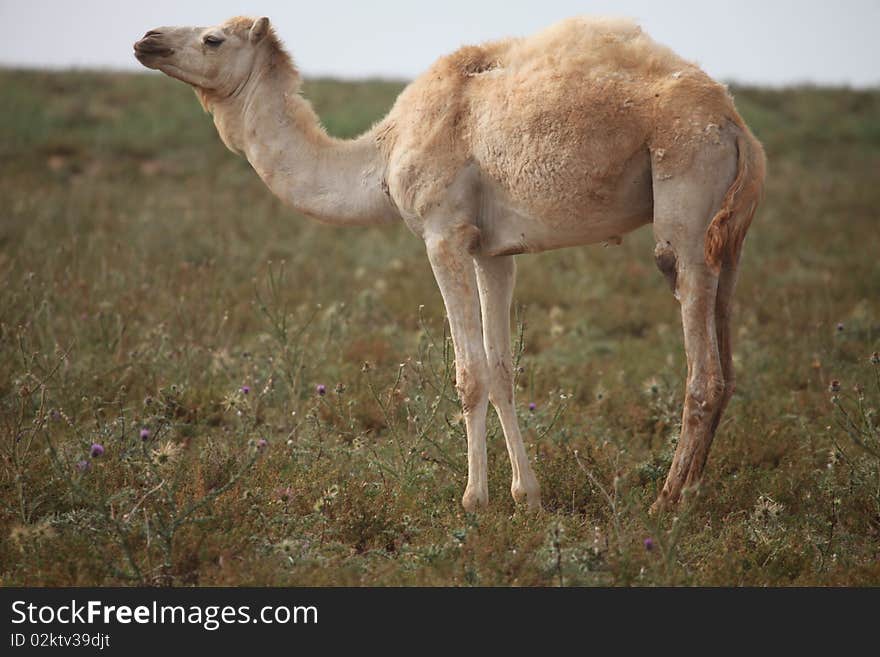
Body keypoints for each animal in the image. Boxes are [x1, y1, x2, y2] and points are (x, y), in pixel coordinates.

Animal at [136, 15, 764, 512]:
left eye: (212, 38)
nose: (147, 40)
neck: (382, 153)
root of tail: (737, 126)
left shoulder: (443, 235)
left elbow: (469, 372)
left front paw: (474, 500)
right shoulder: (492, 251)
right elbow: (504, 369)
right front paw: (527, 497)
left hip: (684, 195)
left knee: (701, 366)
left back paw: (666, 501)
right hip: (729, 239)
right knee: (728, 361)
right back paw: (694, 491)